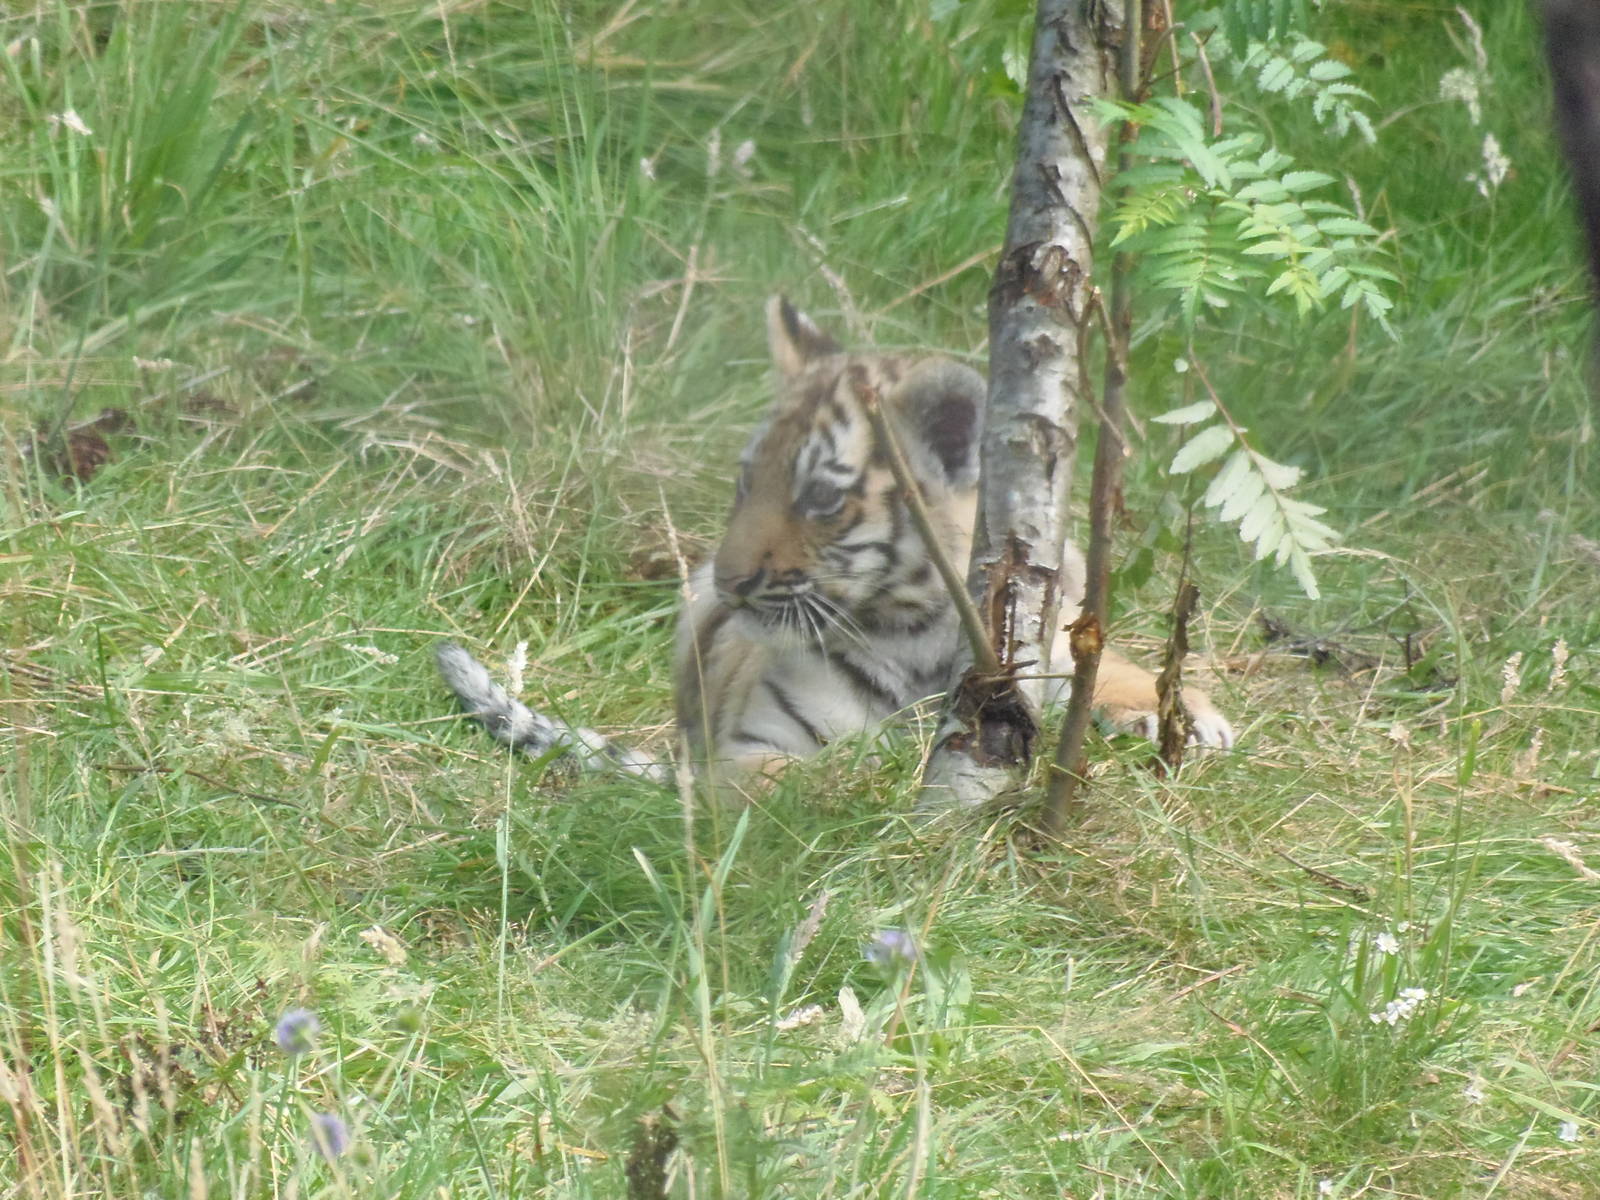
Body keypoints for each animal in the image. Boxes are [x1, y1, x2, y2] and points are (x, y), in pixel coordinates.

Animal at [436, 296, 1235, 796]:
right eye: (747, 481)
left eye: (819, 497)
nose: (729, 585)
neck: (920, 632)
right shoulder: (749, 750)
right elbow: (799, 782)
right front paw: (866, 783)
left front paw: (1180, 713)